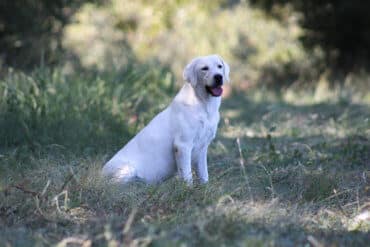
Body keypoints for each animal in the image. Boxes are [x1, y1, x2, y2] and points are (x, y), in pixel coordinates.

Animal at [102, 54, 230, 185]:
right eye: (204, 68)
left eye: (219, 66)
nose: (218, 77)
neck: (203, 105)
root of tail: (100, 173)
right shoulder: (182, 146)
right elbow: (187, 175)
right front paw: (188, 188)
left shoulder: (202, 149)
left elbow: (204, 174)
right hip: (128, 170)